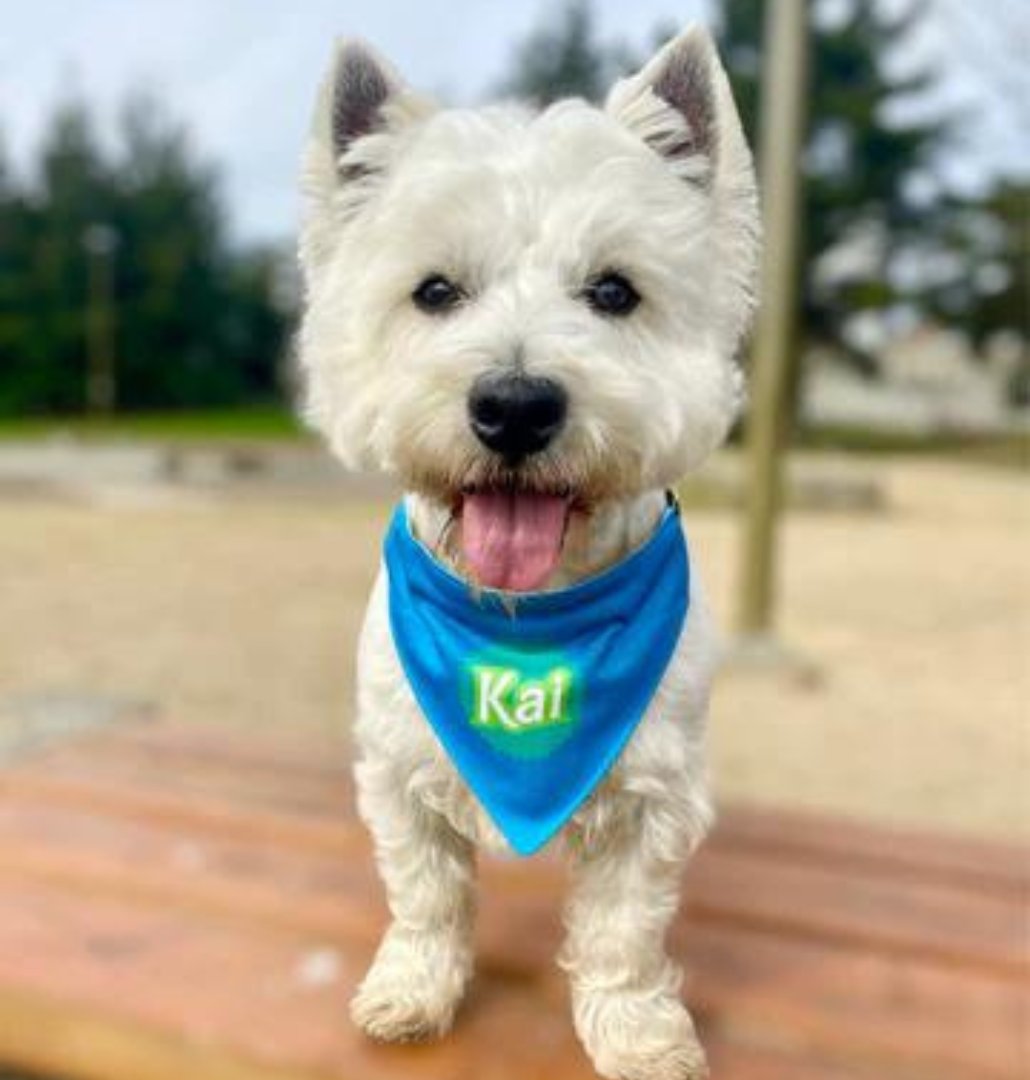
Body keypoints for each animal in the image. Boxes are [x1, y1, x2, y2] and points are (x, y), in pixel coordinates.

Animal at [295, 27, 755, 1080]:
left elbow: (624, 930)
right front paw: (412, 994)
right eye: (434, 291)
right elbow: (425, 895)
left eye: (615, 291)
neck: (525, 619)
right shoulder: (399, 769)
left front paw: (638, 1035)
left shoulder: (652, 795)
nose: (514, 405)